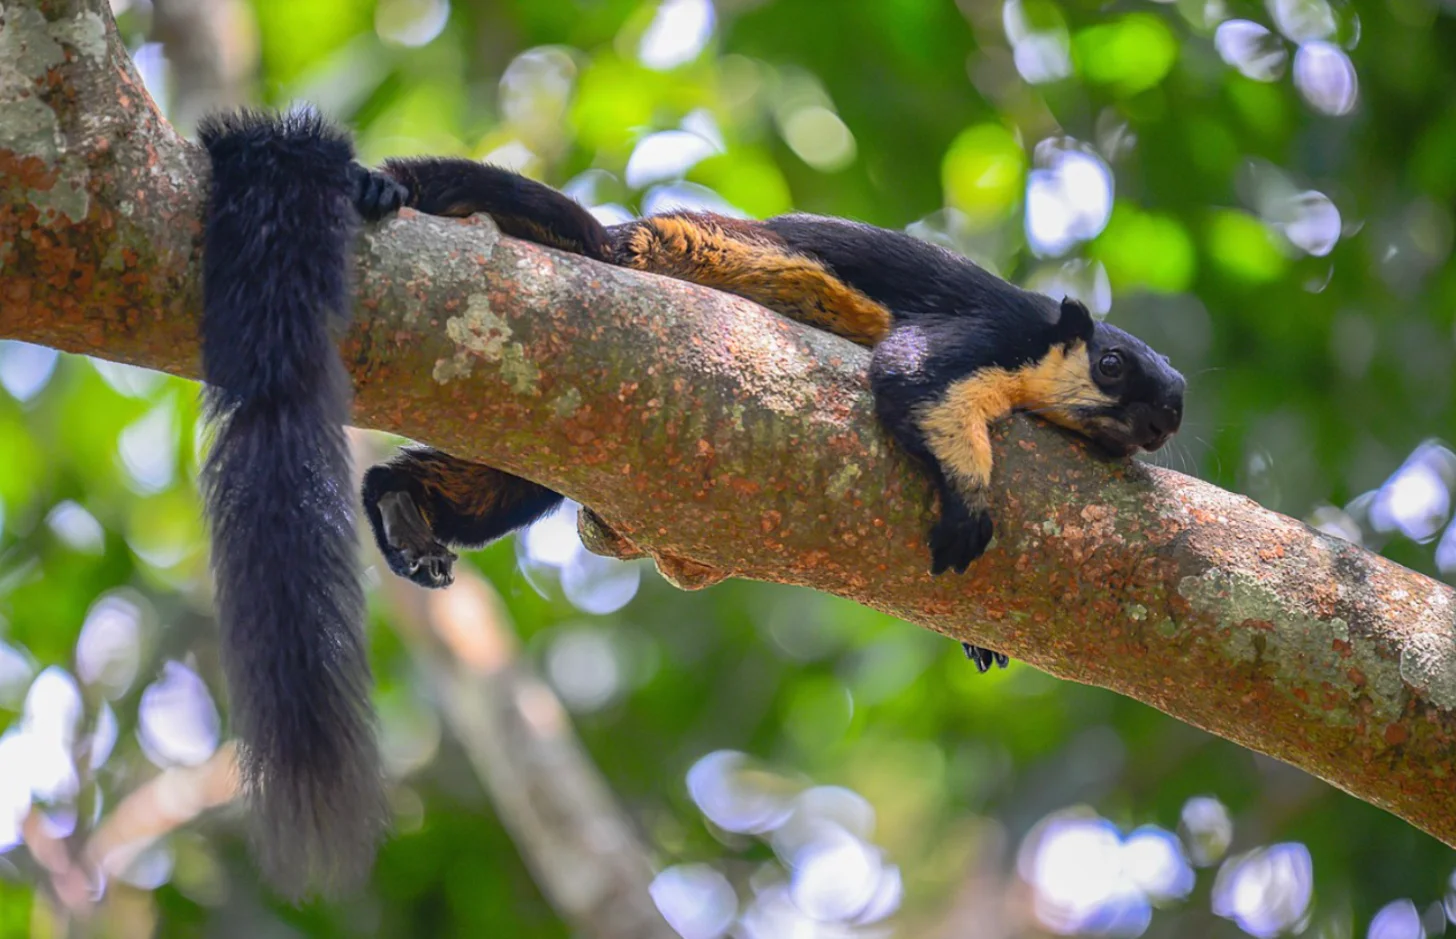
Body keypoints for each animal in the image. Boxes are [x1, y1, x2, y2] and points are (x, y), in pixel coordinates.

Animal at [195, 109, 1184, 894]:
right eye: (1112, 366)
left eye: (1174, 402)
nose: (1160, 416)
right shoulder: (993, 333)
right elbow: (913, 377)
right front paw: (970, 499)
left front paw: (979, 632)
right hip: (641, 258)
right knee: (565, 235)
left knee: (518, 470)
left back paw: (403, 507)